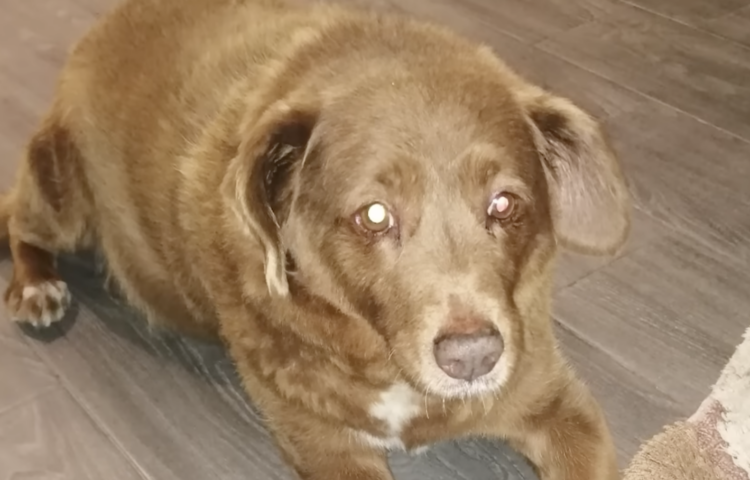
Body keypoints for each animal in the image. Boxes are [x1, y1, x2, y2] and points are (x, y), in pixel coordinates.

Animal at [0, 0, 630, 478]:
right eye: (373, 215)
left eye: (504, 204)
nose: (472, 356)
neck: (378, 354)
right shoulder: (328, 450)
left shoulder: (562, 407)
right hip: (63, 201)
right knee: (16, 221)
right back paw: (35, 287)